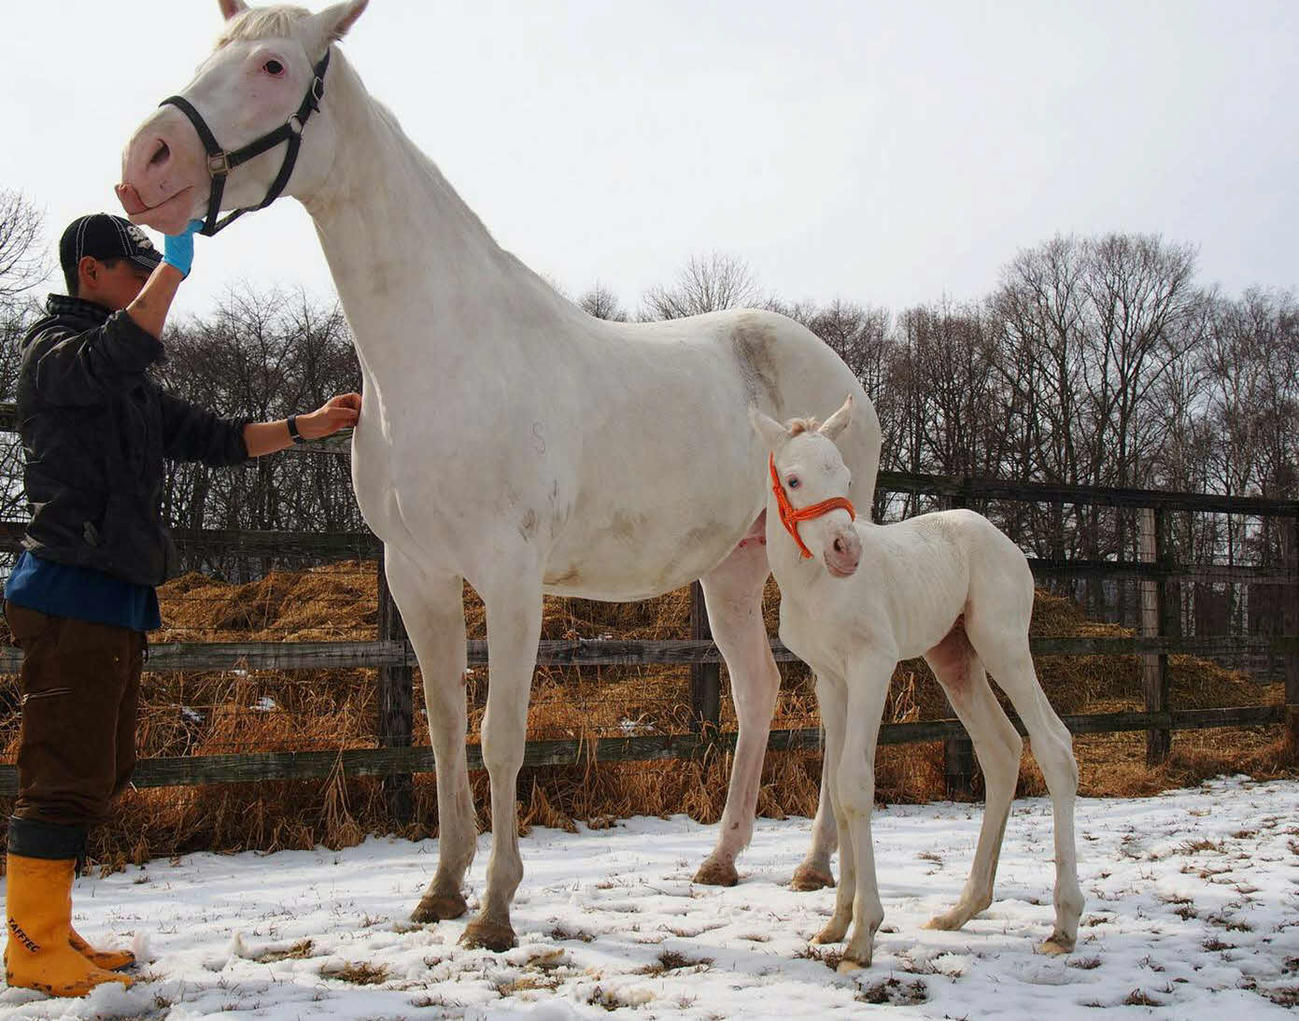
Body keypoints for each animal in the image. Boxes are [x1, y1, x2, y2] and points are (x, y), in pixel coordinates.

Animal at [117, 0, 882, 951]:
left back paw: (815, 866)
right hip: (734, 571)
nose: (144, 164)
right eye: (211, 49)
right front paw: (441, 887)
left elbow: (501, 736)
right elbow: (445, 728)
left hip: (818, 561)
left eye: (272, 66)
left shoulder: (513, 579)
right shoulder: (417, 573)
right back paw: (724, 857)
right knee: (761, 692)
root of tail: (844, 386)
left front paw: (493, 908)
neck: (445, 352)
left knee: (833, 701)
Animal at [752, 398, 1082, 970]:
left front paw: (863, 936)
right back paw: (961, 910)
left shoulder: (872, 664)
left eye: (844, 476)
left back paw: (1063, 924)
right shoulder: (830, 678)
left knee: (1054, 745)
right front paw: (835, 925)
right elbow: (836, 787)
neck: (816, 586)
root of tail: (1006, 543)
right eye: (793, 480)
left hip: (1003, 643)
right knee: (1000, 748)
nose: (846, 550)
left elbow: (856, 783)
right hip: (954, 658)